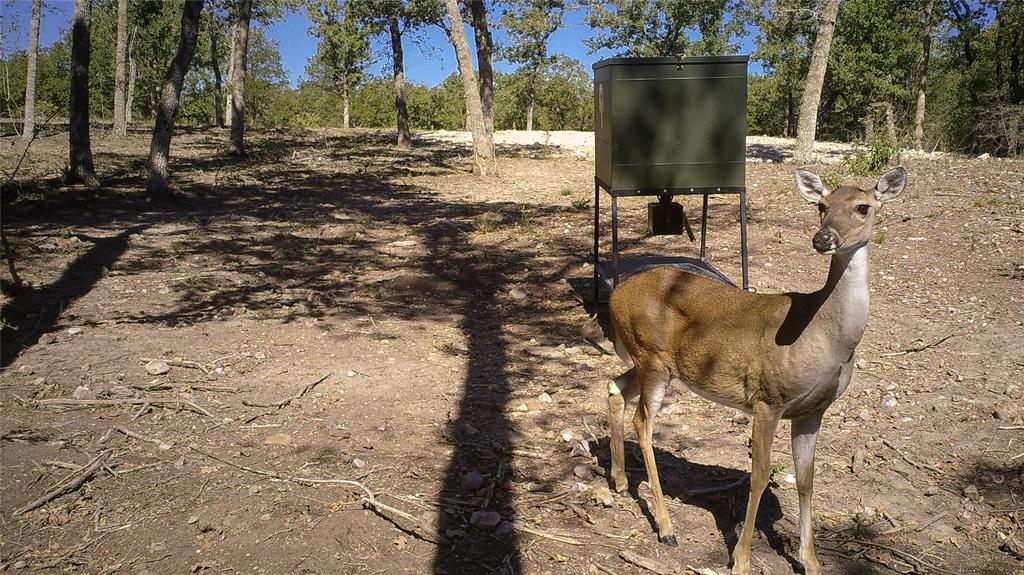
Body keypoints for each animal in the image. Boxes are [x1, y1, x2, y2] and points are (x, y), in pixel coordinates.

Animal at [602, 166, 909, 572]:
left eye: (863, 207)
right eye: (822, 206)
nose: (823, 237)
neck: (824, 336)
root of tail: (615, 295)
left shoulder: (813, 410)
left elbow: (806, 478)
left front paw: (811, 561)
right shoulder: (768, 398)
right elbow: (760, 476)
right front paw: (741, 559)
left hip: (650, 362)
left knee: (613, 386)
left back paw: (621, 481)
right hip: (651, 358)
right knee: (643, 422)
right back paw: (666, 528)